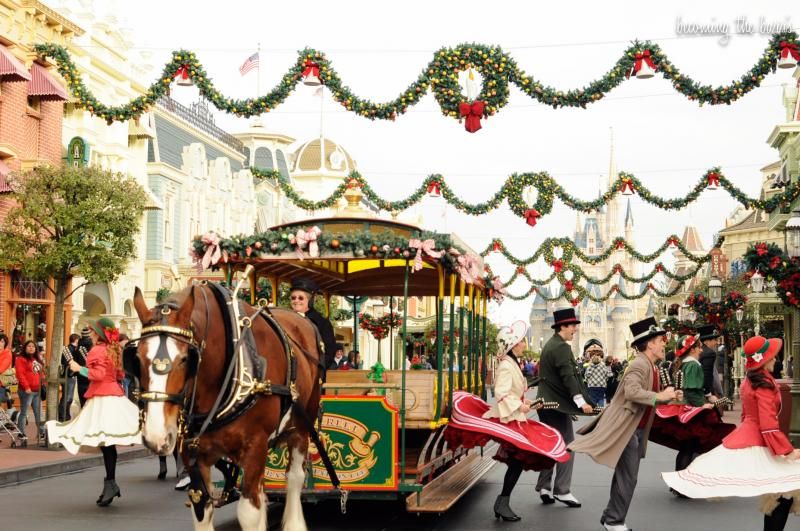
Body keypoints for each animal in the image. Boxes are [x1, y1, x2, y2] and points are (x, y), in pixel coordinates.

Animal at [130, 286, 320, 531]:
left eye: (185, 359)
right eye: (136, 358)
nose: (157, 437)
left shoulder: (255, 446)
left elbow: (249, 512)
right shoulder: (193, 454)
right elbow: (202, 508)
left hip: (302, 428)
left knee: (294, 478)